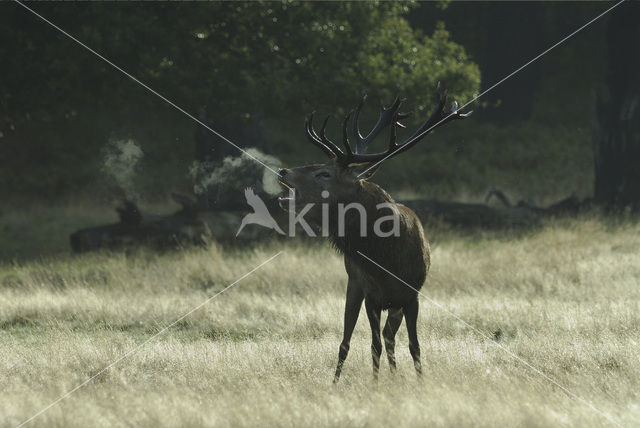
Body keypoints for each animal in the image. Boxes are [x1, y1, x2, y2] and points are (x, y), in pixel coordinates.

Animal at [276, 89, 470, 382]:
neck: (387, 259)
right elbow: (373, 345)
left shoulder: (411, 296)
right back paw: (337, 382)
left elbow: (414, 345)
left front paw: (420, 381)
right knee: (347, 342)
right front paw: (377, 384)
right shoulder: (371, 294)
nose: (283, 171)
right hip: (354, 285)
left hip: (393, 303)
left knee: (389, 336)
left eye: (324, 173)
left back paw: (394, 375)